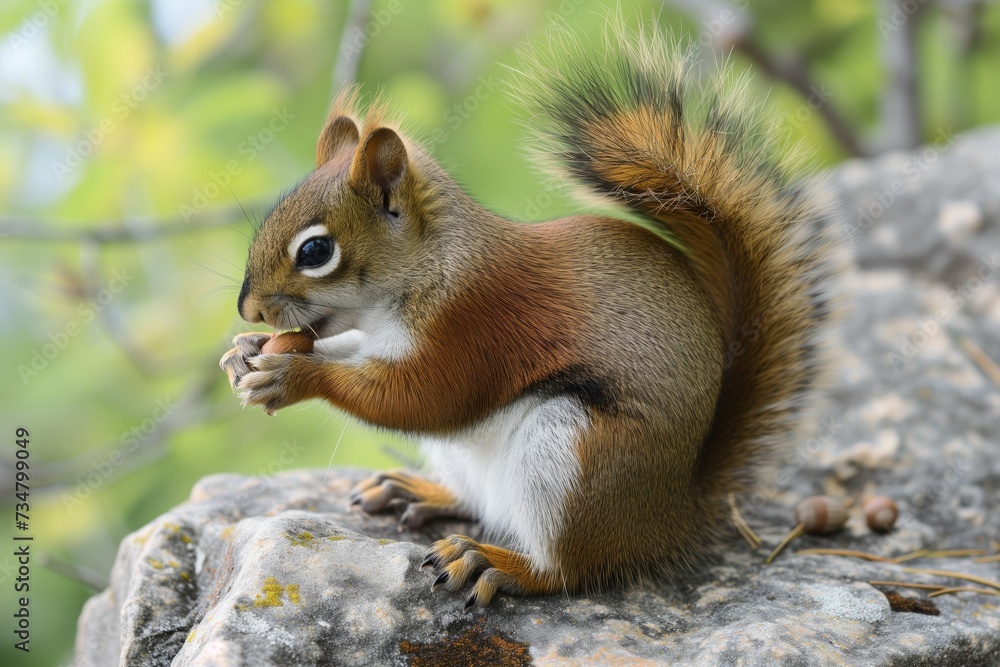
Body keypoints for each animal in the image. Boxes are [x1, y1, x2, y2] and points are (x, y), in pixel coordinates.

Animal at [219, 21, 839, 610]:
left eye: (315, 251)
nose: (248, 307)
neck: (429, 270)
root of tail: (668, 520)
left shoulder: (478, 324)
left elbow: (426, 398)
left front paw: (293, 374)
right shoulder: (378, 336)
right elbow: (350, 353)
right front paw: (244, 352)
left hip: (570, 453)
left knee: (568, 568)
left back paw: (496, 563)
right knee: (479, 502)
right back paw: (421, 492)